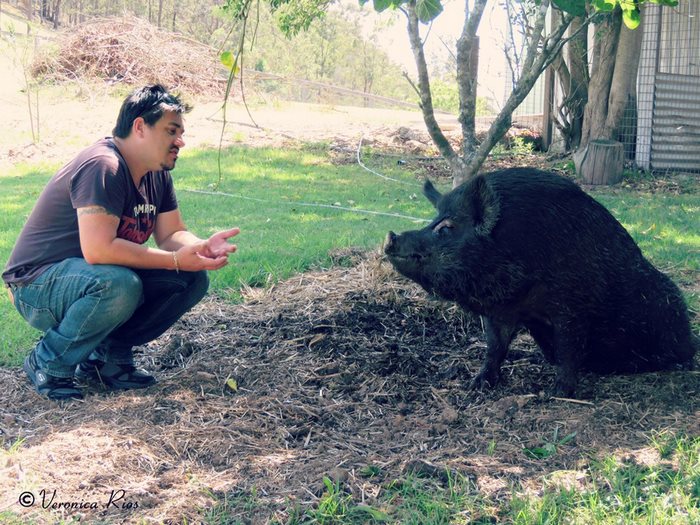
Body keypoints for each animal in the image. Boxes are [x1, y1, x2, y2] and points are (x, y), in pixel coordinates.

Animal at [384, 167, 697, 397]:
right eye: (433, 219)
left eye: (447, 227)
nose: (391, 236)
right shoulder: (502, 313)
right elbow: (495, 348)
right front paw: (475, 385)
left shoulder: (573, 308)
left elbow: (569, 350)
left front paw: (558, 393)